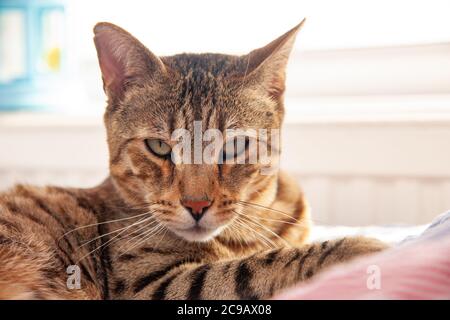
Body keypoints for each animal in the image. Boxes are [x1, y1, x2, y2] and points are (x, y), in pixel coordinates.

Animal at [0, 20, 386, 300]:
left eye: (234, 146)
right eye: (158, 146)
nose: (196, 205)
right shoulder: (148, 286)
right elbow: (250, 268)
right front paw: (357, 249)